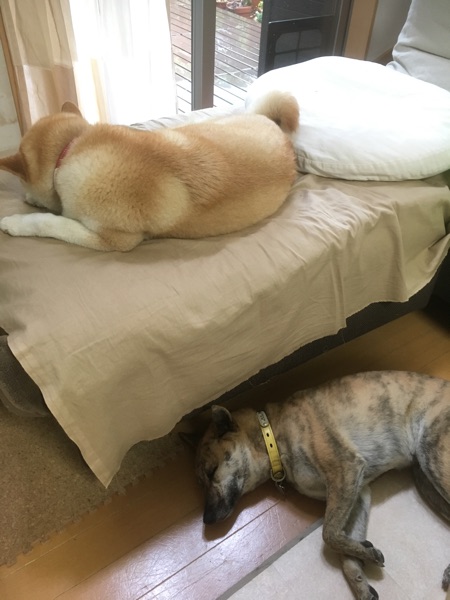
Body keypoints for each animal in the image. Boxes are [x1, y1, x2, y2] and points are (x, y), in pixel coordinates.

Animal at [0, 92, 299, 251]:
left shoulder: (115, 239)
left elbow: (50, 222)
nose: (25, 197)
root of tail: (278, 131)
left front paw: (15, 222)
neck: (72, 148)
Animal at [194, 371, 450, 600]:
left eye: (212, 471)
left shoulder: (345, 469)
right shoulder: (357, 493)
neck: (273, 436)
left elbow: (329, 534)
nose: (207, 520)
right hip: (425, 479)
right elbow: (341, 545)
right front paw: (360, 579)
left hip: (433, 457)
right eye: (201, 480)